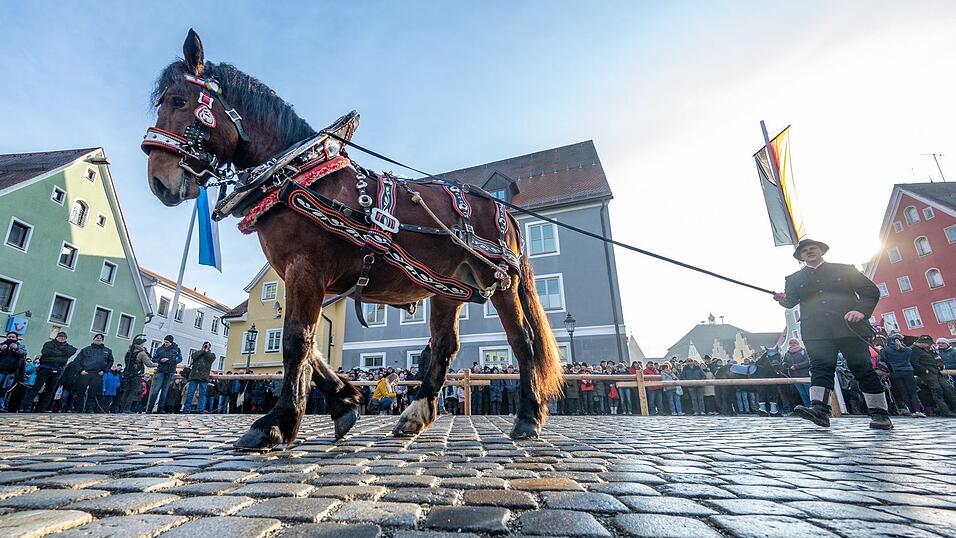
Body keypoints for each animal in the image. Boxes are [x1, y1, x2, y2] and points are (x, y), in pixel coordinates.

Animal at [142, 30, 564, 450]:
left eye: (180, 101)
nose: (160, 182)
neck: (299, 175)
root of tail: (498, 205)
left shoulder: (305, 269)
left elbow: (296, 340)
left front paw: (276, 422)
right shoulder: (300, 278)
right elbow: (312, 345)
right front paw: (345, 402)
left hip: (499, 284)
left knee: (523, 342)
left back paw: (528, 417)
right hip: (448, 289)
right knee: (444, 347)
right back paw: (416, 415)